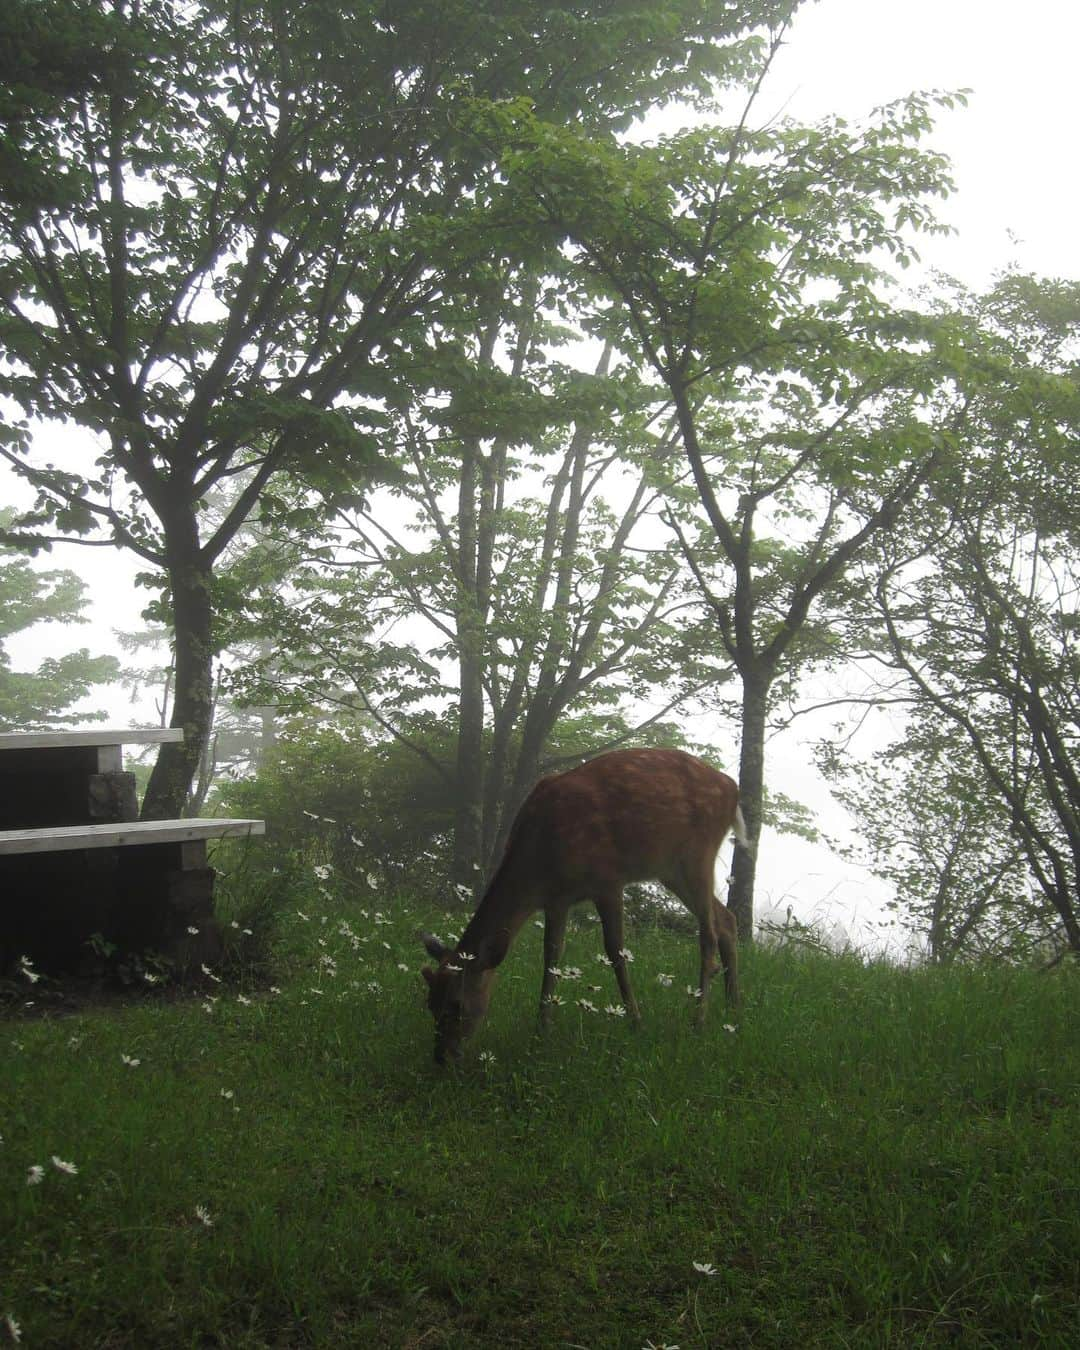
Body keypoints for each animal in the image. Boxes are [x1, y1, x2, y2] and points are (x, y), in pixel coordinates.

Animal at [418, 750, 745, 1063]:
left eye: (457, 1005)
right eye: (429, 1003)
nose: (442, 1057)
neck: (539, 857)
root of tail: (733, 789)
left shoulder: (608, 880)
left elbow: (615, 951)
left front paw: (636, 1023)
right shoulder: (556, 900)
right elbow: (551, 955)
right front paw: (542, 1030)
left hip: (698, 854)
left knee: (708, 933)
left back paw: (700, 1020)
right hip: (671, 869)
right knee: (726, 920)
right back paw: (732, 1009)